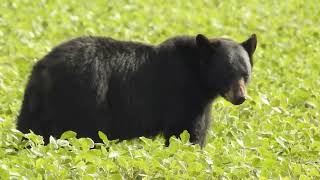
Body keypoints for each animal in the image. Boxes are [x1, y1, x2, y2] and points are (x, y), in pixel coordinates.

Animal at [16, 33, 258, 147]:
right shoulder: (183, 96)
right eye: (227, 73)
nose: (240, 97)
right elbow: (187, 133)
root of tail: (43, 69)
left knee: (29, 133)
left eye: (245, 74)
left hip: (37, 105)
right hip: (82, 100)